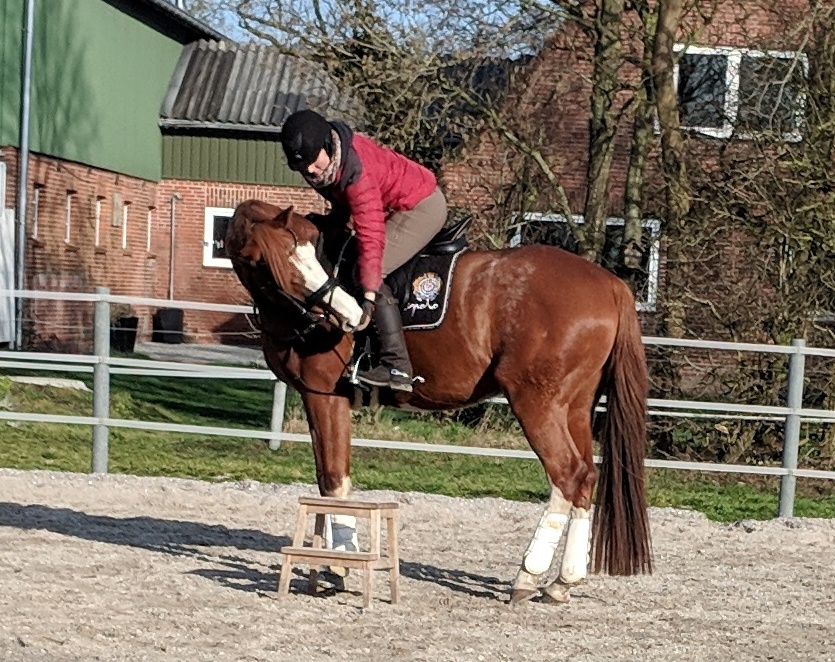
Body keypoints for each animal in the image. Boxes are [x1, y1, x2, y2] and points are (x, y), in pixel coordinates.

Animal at [226, 199, 652, 604]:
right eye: (267, 264)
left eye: (306, 254)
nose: (350, 317)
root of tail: (610, 283)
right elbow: (326, 479)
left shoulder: (324, 396)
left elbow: (333, 480)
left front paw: (339, 565)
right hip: (574, 406)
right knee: (586, 478)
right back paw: (563, 582)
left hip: (537, 403)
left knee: (568, 475)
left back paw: (527, 576)